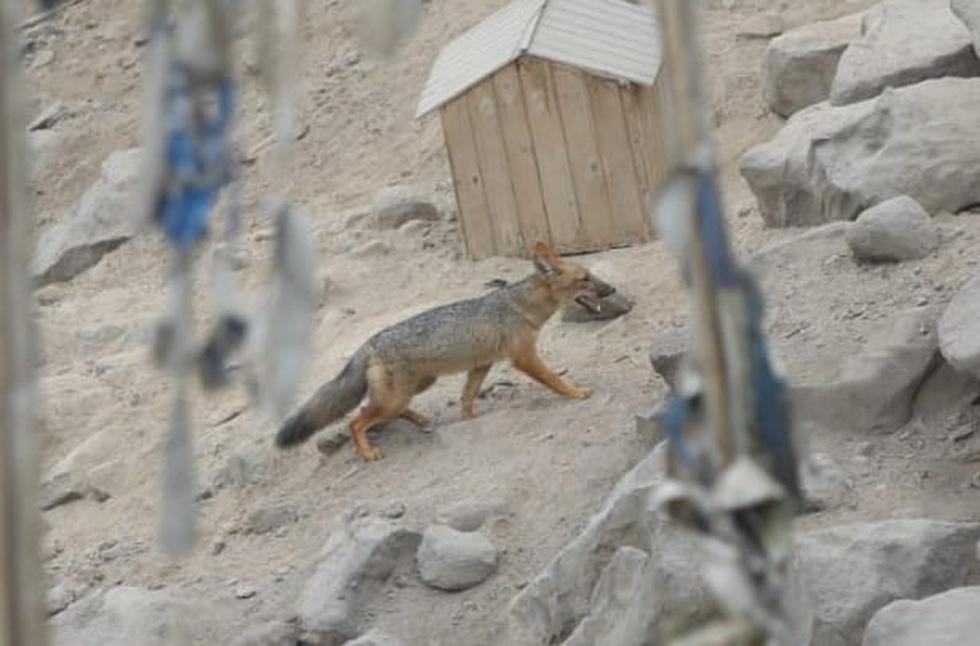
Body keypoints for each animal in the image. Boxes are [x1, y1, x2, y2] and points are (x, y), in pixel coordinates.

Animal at [274, 241, 615, 461]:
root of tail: (369, 342)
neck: (519, 306)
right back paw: (368, 451)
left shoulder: (482, 365)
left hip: (416, 387)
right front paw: (576, 392)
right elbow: (554, 379)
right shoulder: (524, 358)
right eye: (585, 279)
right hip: (396, 397)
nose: (611, 289)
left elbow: (467, 396)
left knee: (373, 410)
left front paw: (470, 418)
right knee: (356, 420)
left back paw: (421, 419)